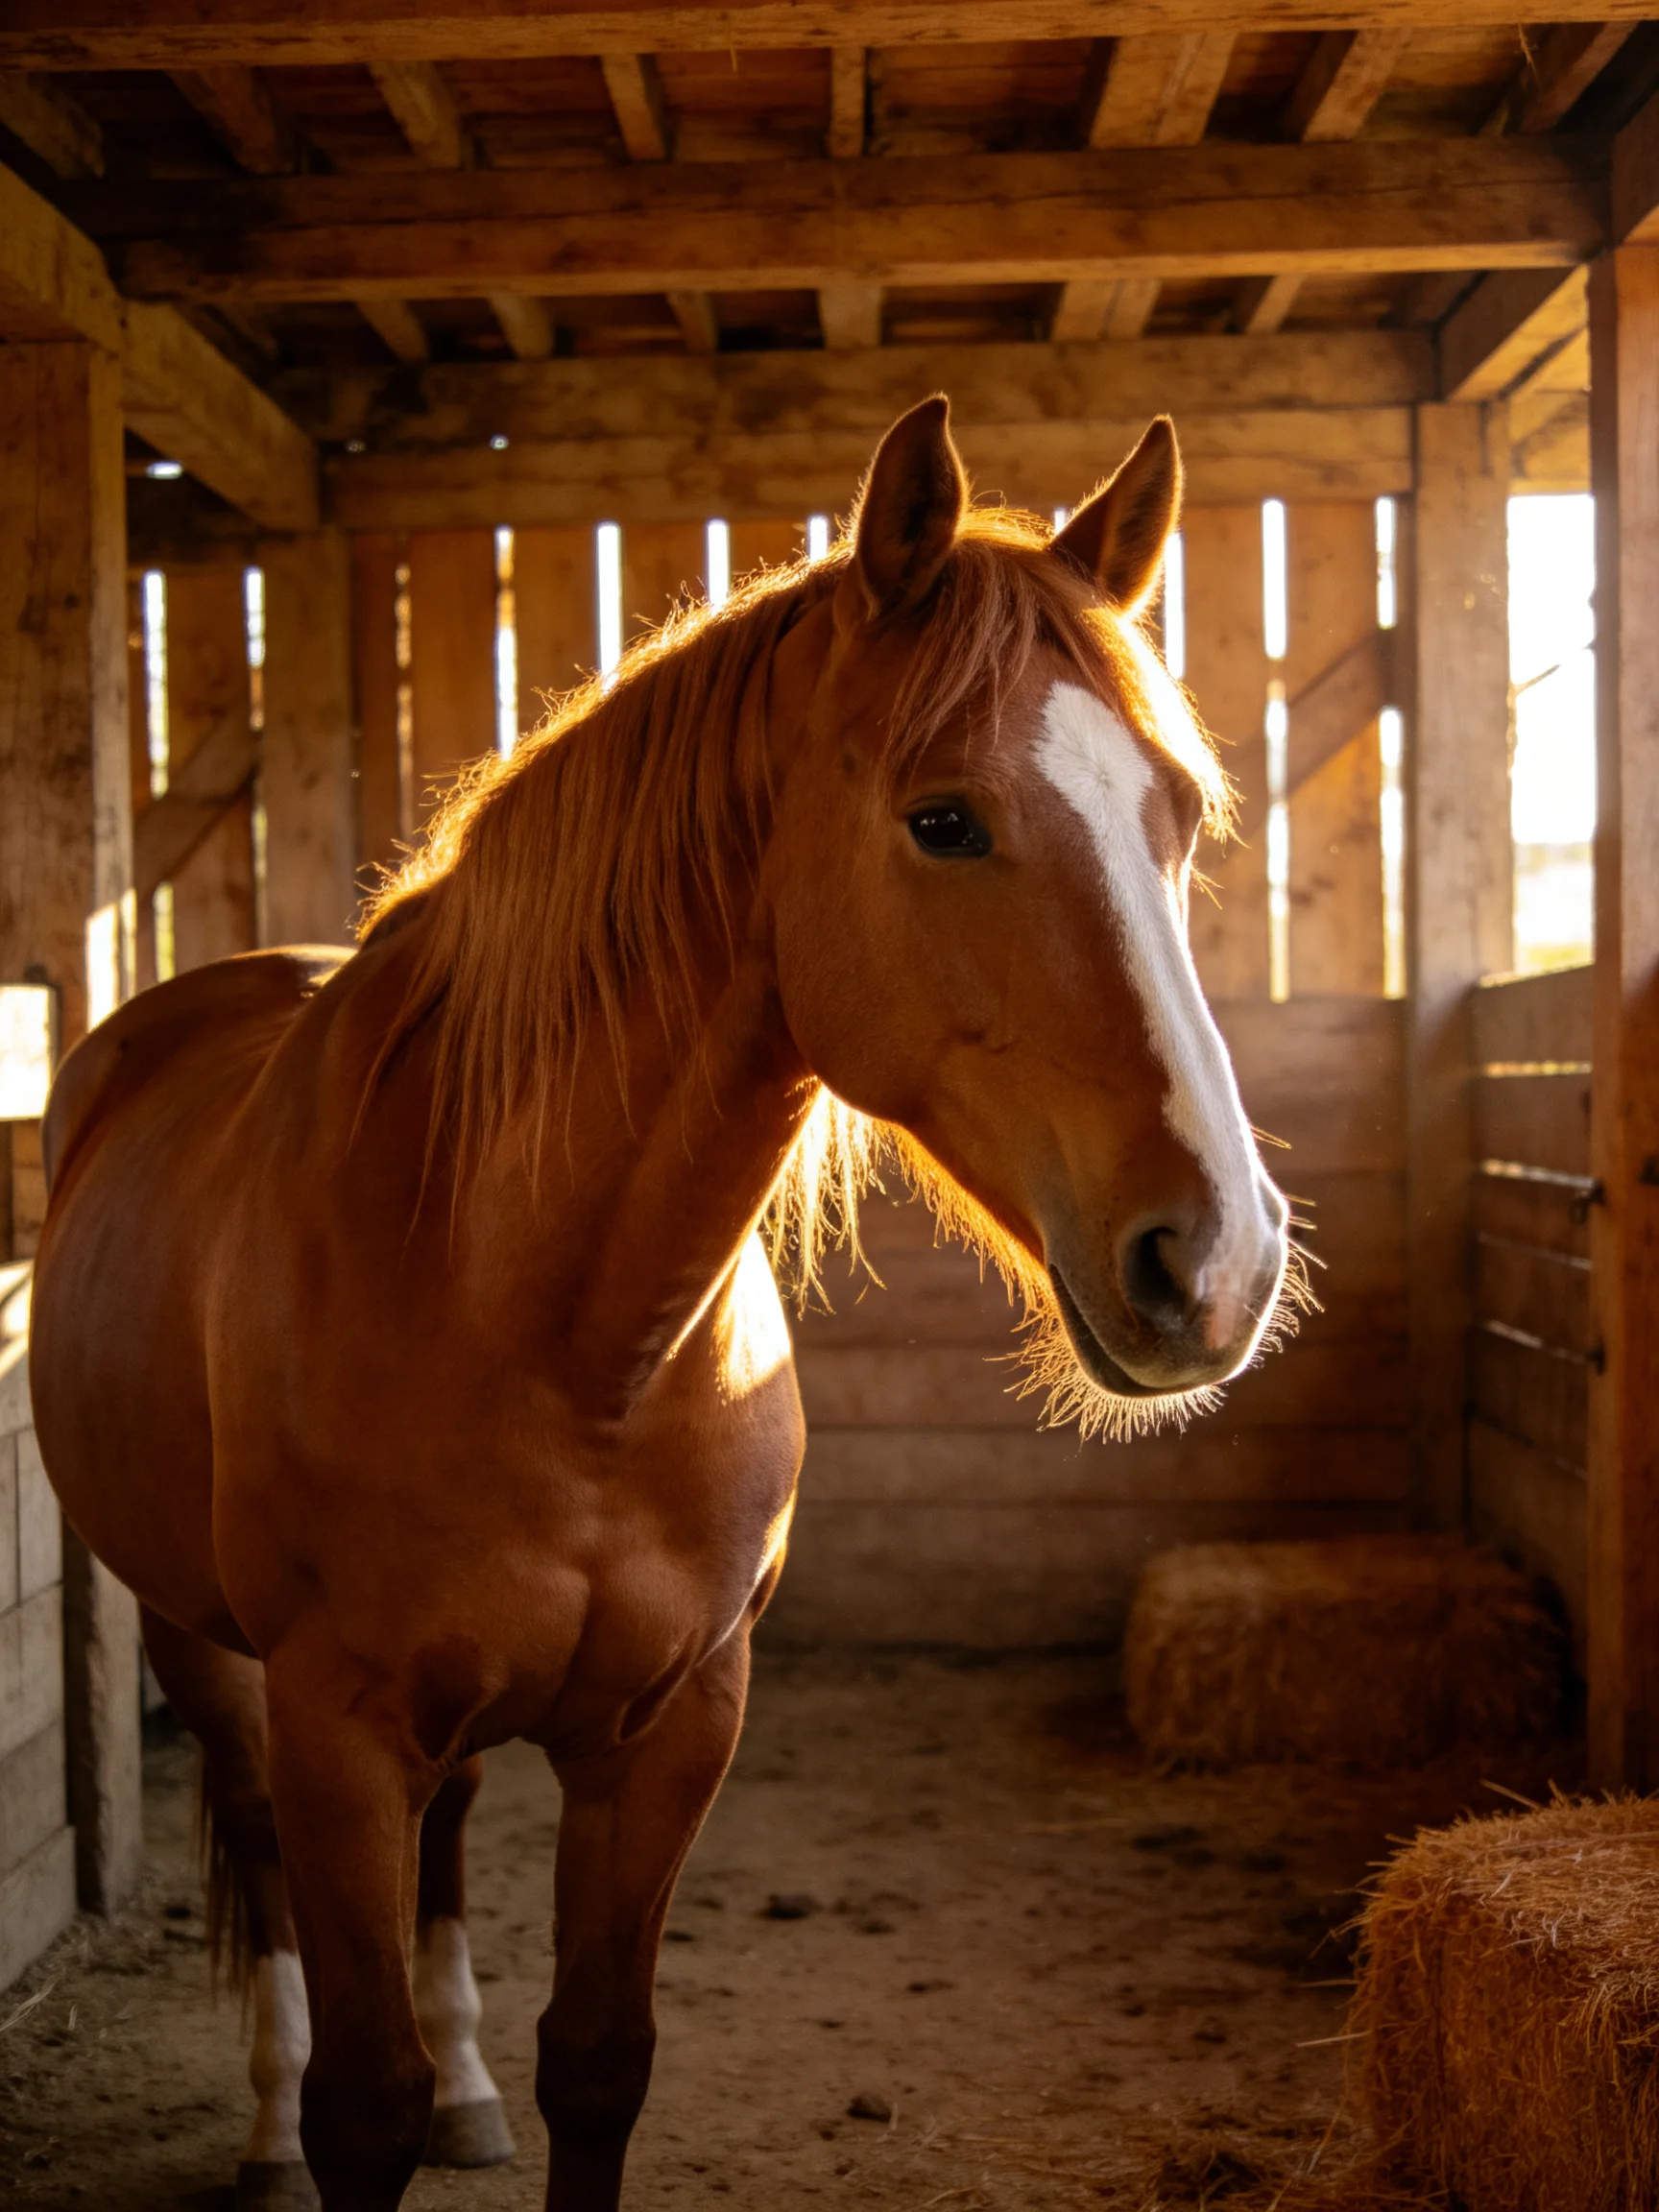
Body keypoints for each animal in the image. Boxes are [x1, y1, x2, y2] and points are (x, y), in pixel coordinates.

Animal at [29, 397, 1290, 2212]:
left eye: (1179, 815)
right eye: (945, 819)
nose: (1219, 1264)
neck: (555, 1334)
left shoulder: (675, 1718)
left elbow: (597, 2061)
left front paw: (497, 2084)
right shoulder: (339, 1722)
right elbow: (361, 2098)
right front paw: (329, 2113)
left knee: (450, 1841)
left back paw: (469, 2088)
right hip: (203, 1644)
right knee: (257, 1849)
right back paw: (262, 2131)